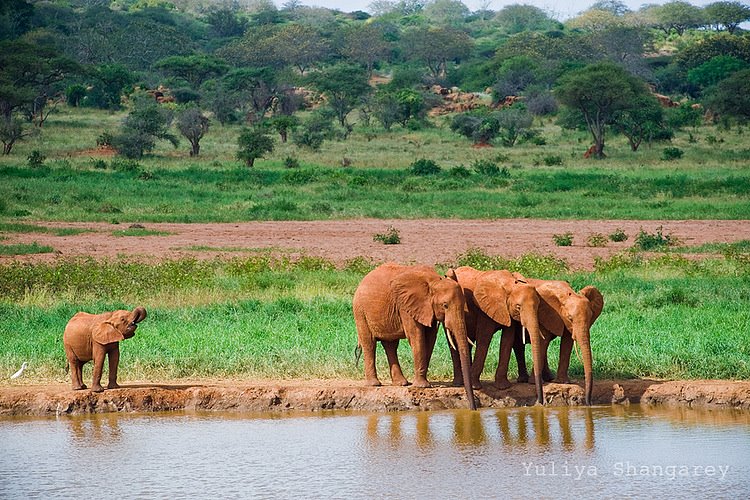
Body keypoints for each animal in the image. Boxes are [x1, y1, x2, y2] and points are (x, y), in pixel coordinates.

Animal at [352, 264, 476, 408]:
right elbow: (416, 337)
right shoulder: (406, 306)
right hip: (360, 311)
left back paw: (401, 383)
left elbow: (430, 339)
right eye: (445, 305)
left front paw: (423, 383)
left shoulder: (426, 308)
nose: (473, 408)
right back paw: (374, 384)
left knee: (391, 345)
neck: (433, 282)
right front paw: (422, 386)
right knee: (369, 343)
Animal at [446, 266, 548, 402]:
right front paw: (475, 387)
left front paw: (503, 387)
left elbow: (507, 340)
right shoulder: (485, 307)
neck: (510, 285)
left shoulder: (506, 310)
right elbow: (484, 338)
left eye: (538, 307)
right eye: (518, 307)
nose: (539, 401)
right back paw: (459, 383)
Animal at [506, 280, 604, 408]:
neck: (565, 294)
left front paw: (563, 382)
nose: (589, 403)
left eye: (591, 317)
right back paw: (525, 380)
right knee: (519, 346)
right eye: (570, 318)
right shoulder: (546, 314)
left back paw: (548, 378)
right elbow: (543, 340)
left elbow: (567, 342)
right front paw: (533, 383)